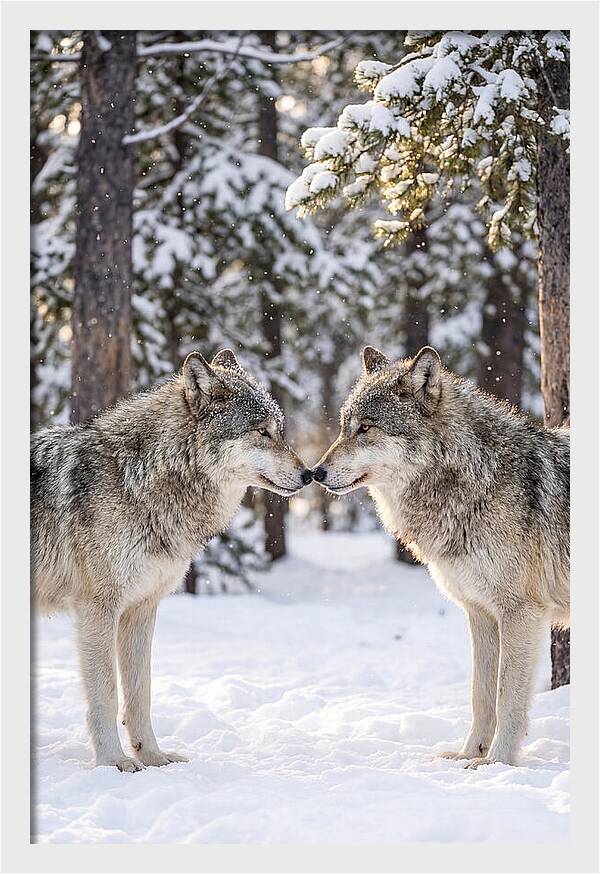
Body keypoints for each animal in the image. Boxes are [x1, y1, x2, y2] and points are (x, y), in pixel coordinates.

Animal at [31, 349, 312, 771]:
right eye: (261, 431)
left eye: (279, 430)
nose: (310, 474)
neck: (138, 480)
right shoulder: (97, 609)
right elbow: (106, 694)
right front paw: (113, 762)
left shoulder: (142, 608)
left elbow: (140, 693)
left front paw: (153, 756)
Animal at [313, 345, 569, 767]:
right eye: (343, 427)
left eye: (366, 428)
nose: (315, 472)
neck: (476, 479)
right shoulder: (480, 613)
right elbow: (481, 695)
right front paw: (469, 754)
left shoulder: (521, 612)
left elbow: (507, 698)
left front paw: (497, 762)